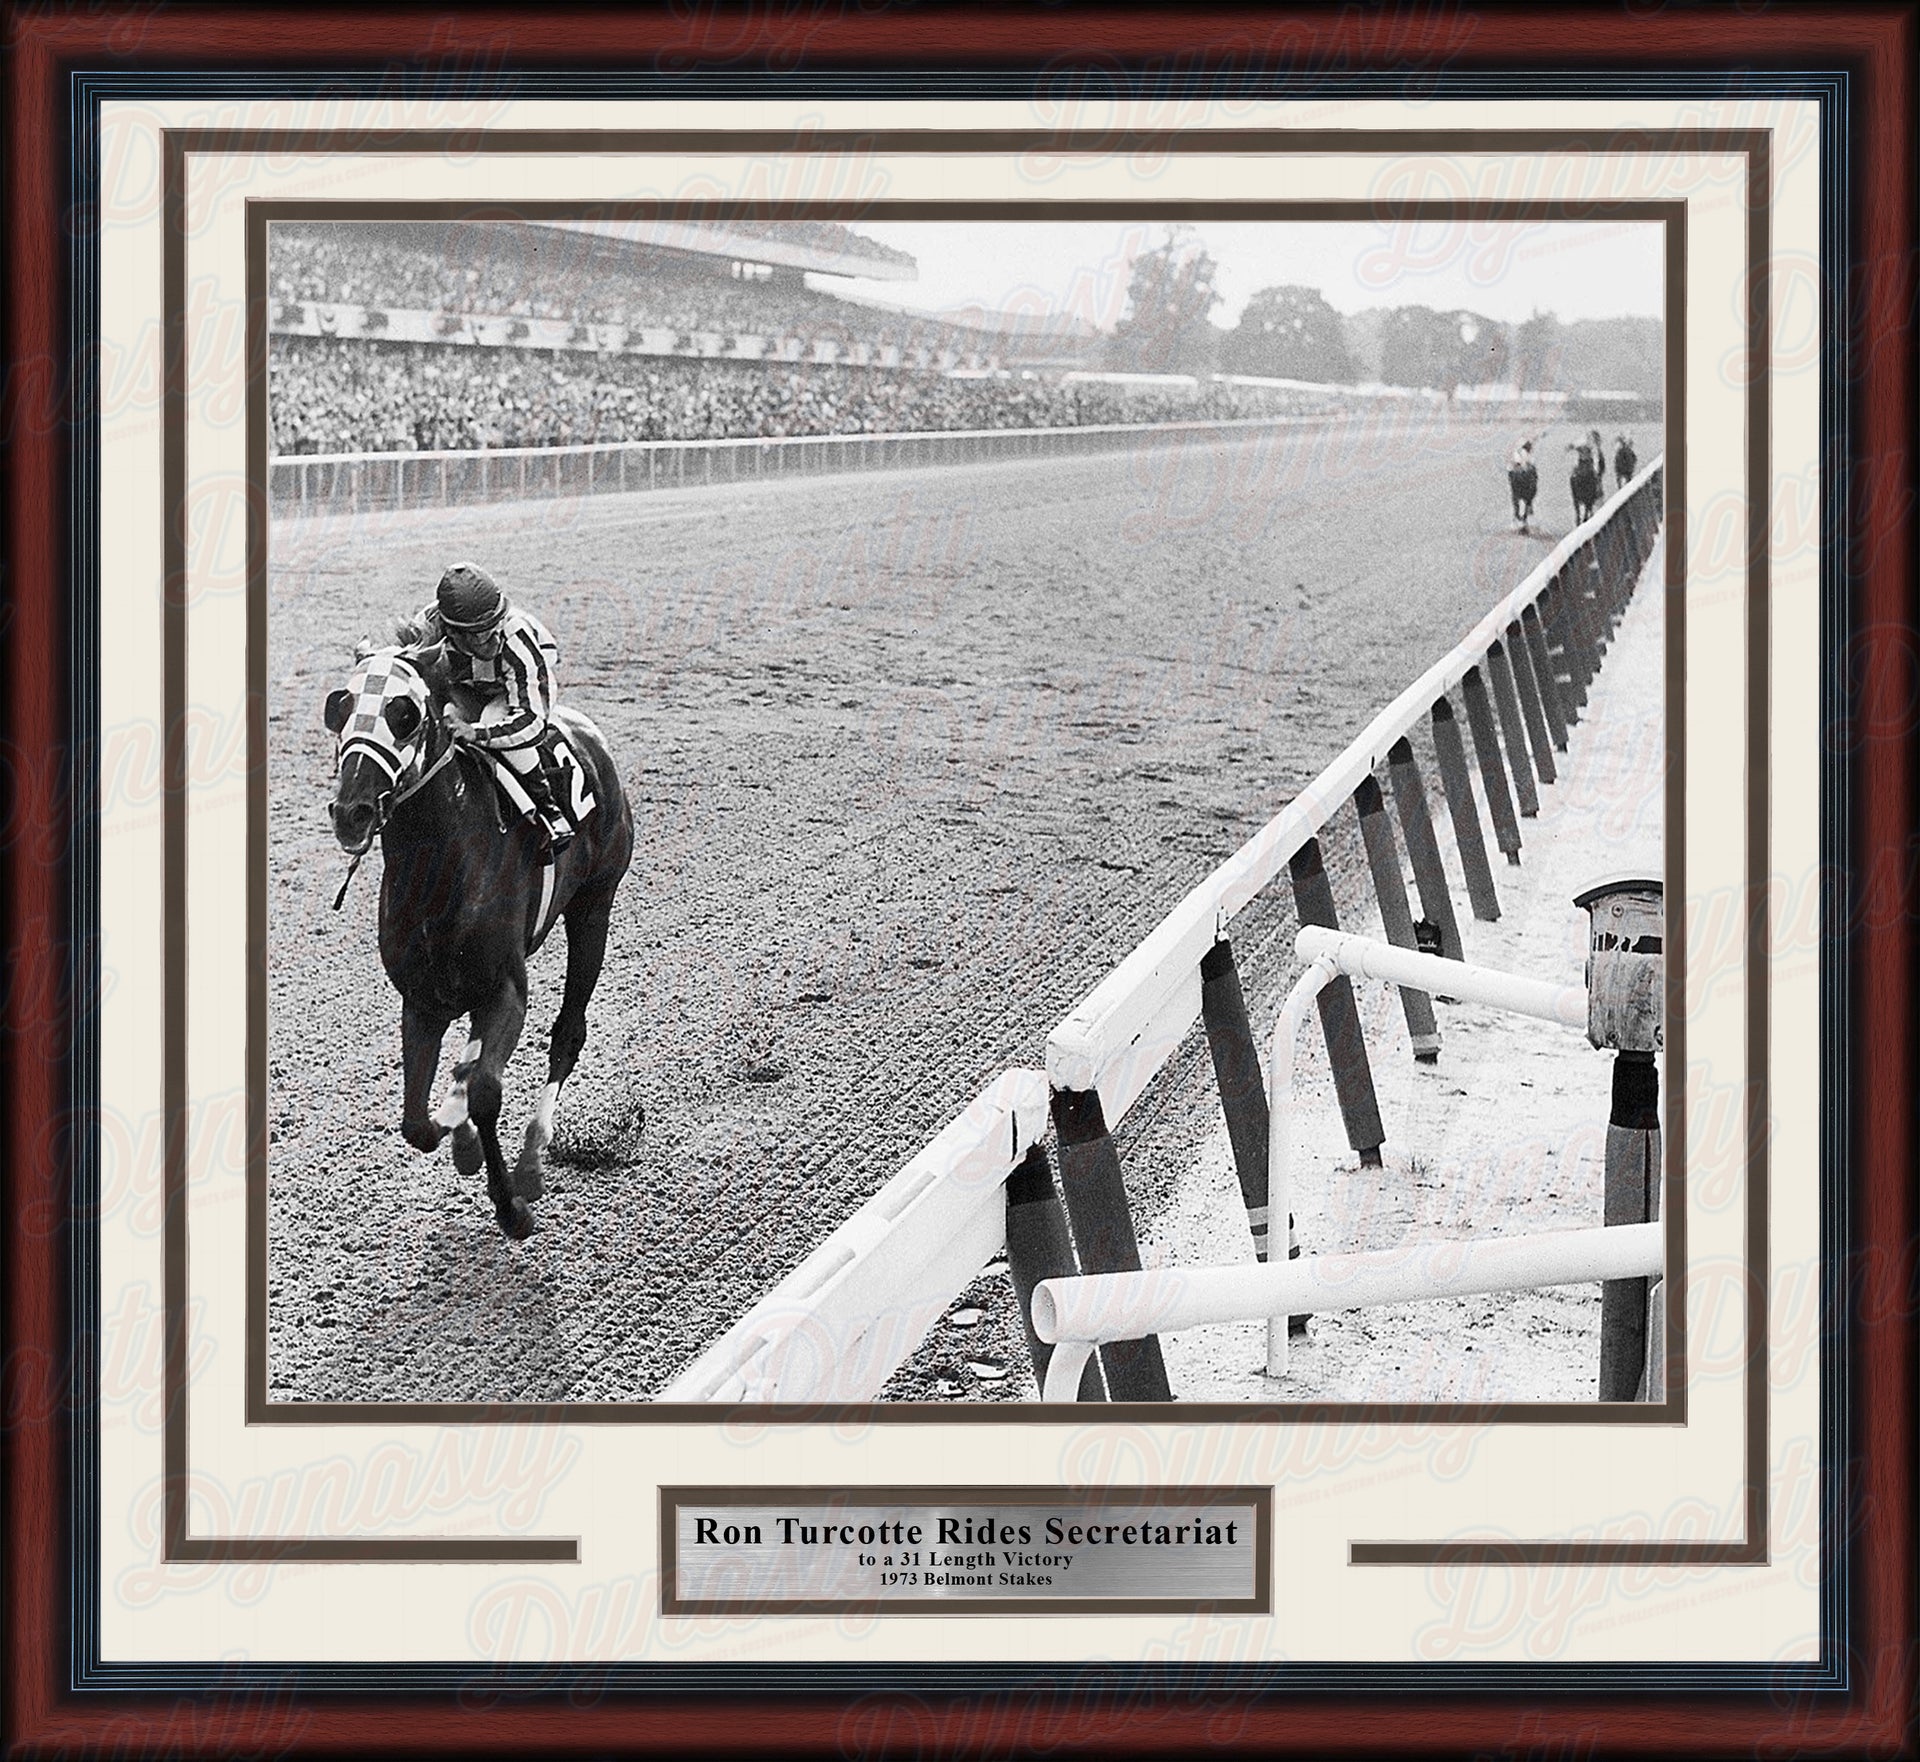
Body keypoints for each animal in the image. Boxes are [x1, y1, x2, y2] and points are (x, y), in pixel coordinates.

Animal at [324, 644, 629, 1243]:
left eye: (404, 712)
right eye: (342, 707)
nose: (352, 811)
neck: (440, 867)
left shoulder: (507, 986)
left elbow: (489, 1089)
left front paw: (511, 1205)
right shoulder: (422, 1000)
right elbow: (415, 1122)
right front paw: (457, 1133)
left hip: (594, 907)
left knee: (567, 1035)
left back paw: (531, 1161)